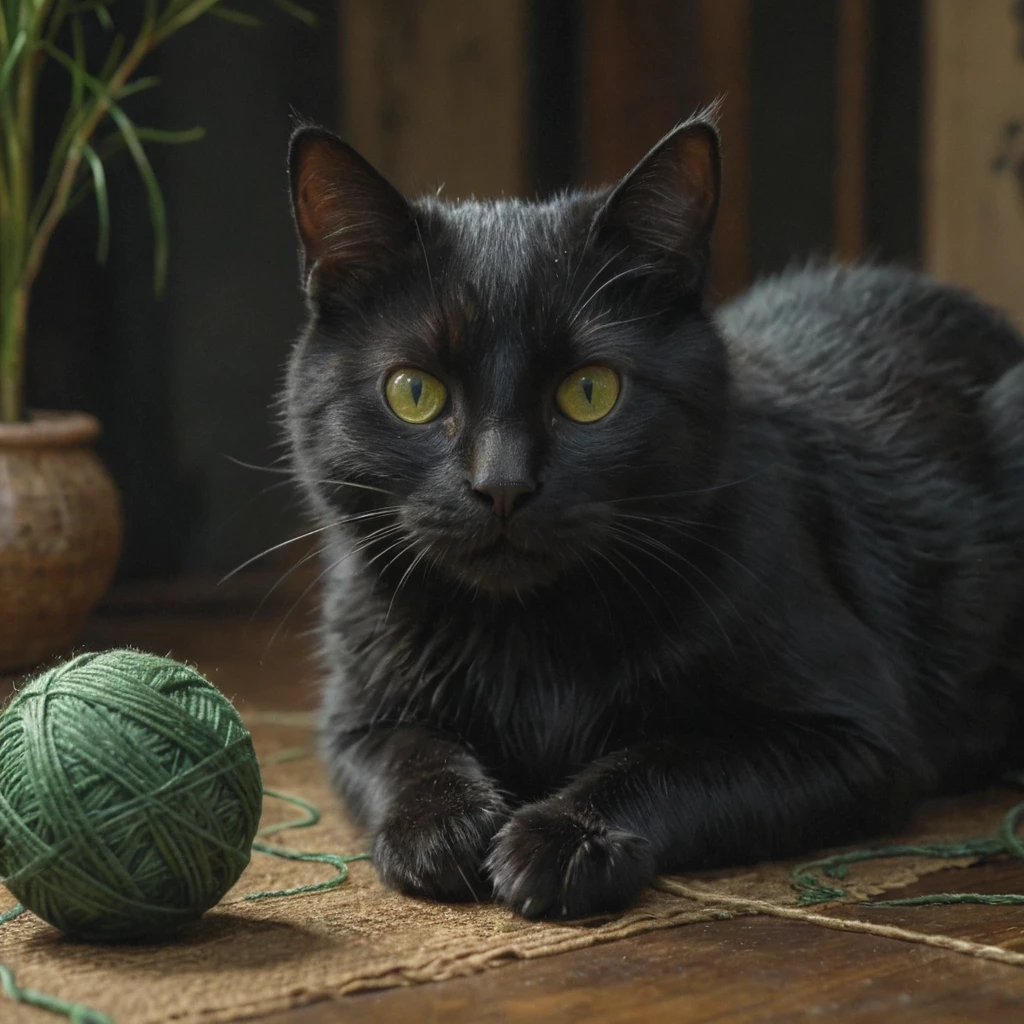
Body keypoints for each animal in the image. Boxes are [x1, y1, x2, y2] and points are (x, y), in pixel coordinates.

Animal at [284, 112, 1024, 921]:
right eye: (413, 392)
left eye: (590, 392)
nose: (502, 484)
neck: (530, 640)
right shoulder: (355, 716)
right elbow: (407, 752)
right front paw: (440, 825)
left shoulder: (858, 732)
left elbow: (669, 758)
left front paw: (567, 838)